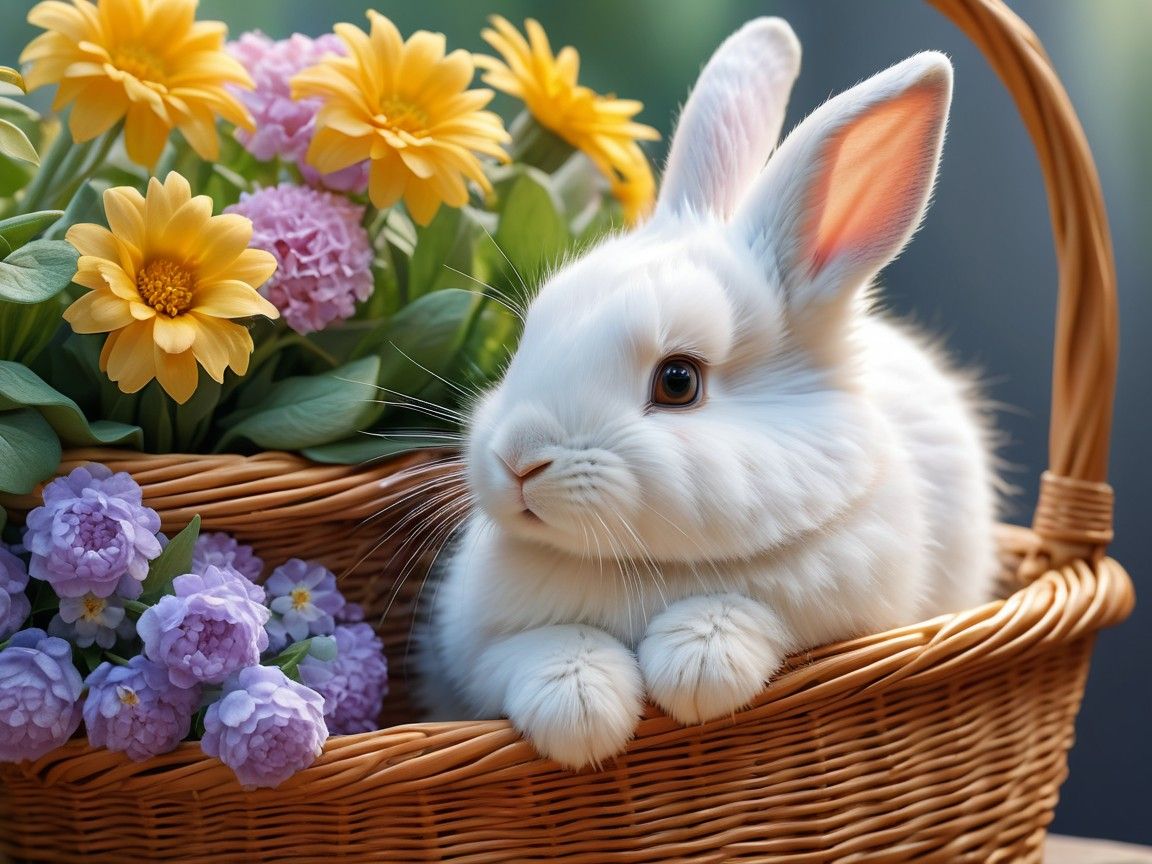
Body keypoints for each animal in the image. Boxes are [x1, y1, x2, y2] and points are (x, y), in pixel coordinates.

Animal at [415, 17, 999, 770]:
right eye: (530, 334)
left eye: (678, 381)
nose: (518, 461)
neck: (638, 568)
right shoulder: (475, 655)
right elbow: (535, 651)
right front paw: (582, 709)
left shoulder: (851, 612)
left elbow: (754, 612)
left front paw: (696, 667)